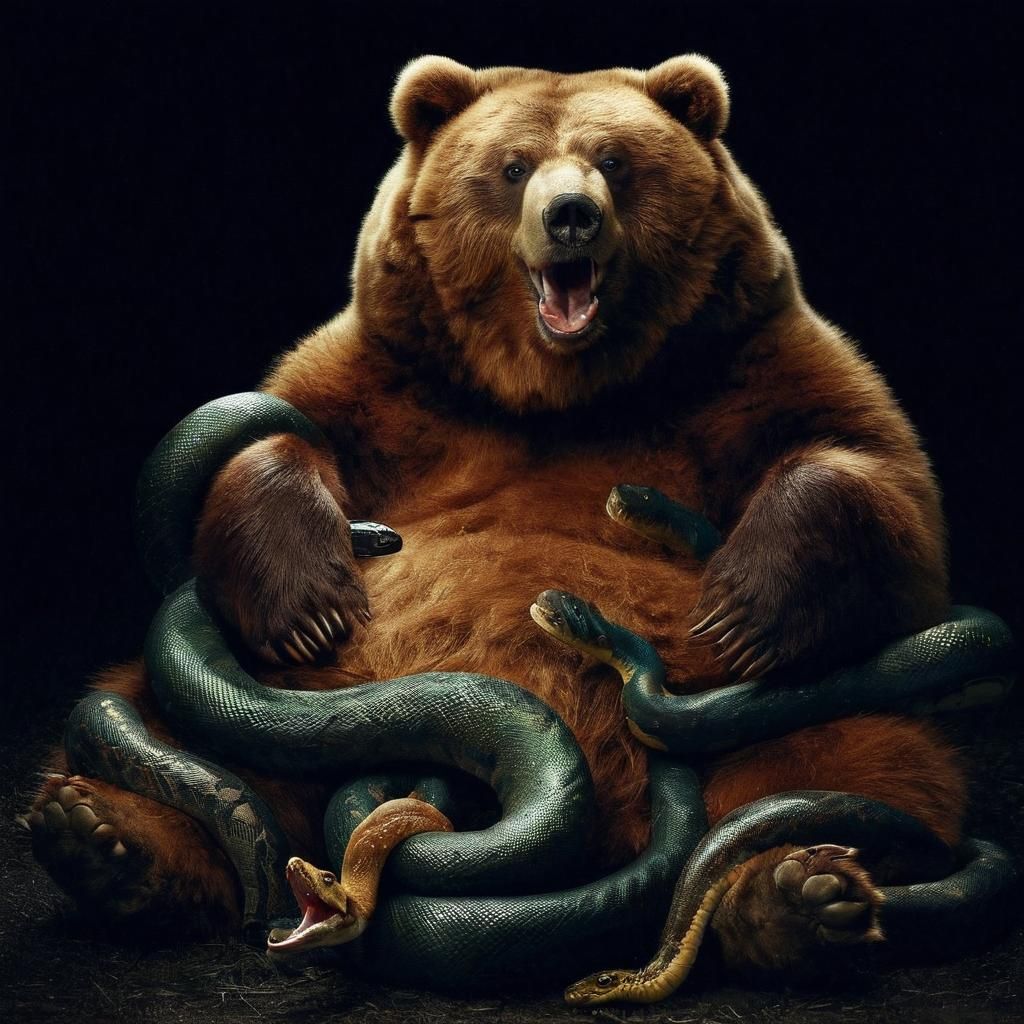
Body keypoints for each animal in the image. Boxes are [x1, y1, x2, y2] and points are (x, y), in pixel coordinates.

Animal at [25, 54, 966, 979]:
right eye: (512, 168)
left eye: (616, 160)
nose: (572, 215)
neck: (555, 391)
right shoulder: (389, 370)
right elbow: (276, 445)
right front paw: (308, 599)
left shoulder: (747, 353)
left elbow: (873, 476)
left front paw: (745, 605)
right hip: (254, 701)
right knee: (146, 718)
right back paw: (104, 840)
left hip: (785, 721)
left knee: (858, 758)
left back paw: (799, 895)